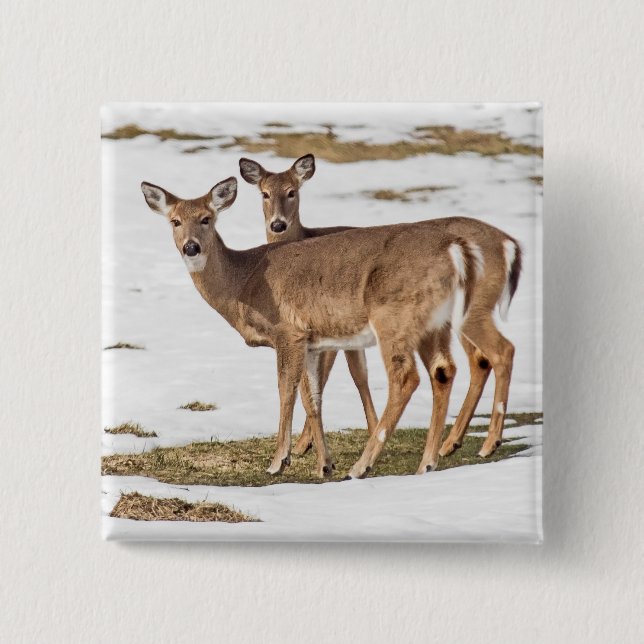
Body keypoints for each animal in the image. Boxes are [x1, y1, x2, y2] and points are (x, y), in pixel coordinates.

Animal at [141, 175, 481, 479]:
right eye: (175, 221)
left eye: (206, 218)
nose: (191, 247)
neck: (244, 282)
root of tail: (454, 253)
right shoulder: (312, 340)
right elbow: (312, 397)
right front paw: (324, 465)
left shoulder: (287, 331)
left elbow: (285, 391)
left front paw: (279, 461)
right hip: (434, 323)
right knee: (443, 370)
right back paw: (427, 463)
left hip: (394, 317)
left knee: (406, 377)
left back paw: (362, 466)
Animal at [239, 154, 522, 460]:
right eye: (264, 193)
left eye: (292, 192)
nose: (277, 224)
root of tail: (509, 243)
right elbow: (354, 374)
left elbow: (329, 376)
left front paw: (307, 444)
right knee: (478, 360)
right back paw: (452, 443)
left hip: (469, 308)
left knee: (492, 353)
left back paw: (484, 443)